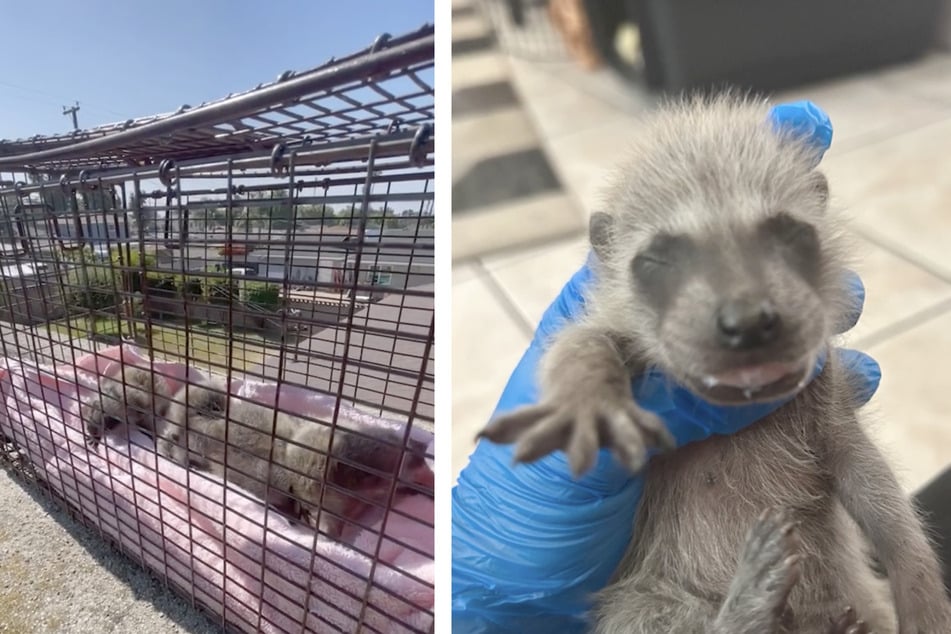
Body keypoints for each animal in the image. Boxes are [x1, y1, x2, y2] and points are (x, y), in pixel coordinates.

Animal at [480, 95, 951, 632]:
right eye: (658, 259)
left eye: (788, 233)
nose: (747, 323)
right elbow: (581, 340)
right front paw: (587, 390)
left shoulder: (829, 403)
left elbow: (876, 488)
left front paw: (917, 582)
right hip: (649, 593)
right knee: (646, 614)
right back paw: (744, 609)